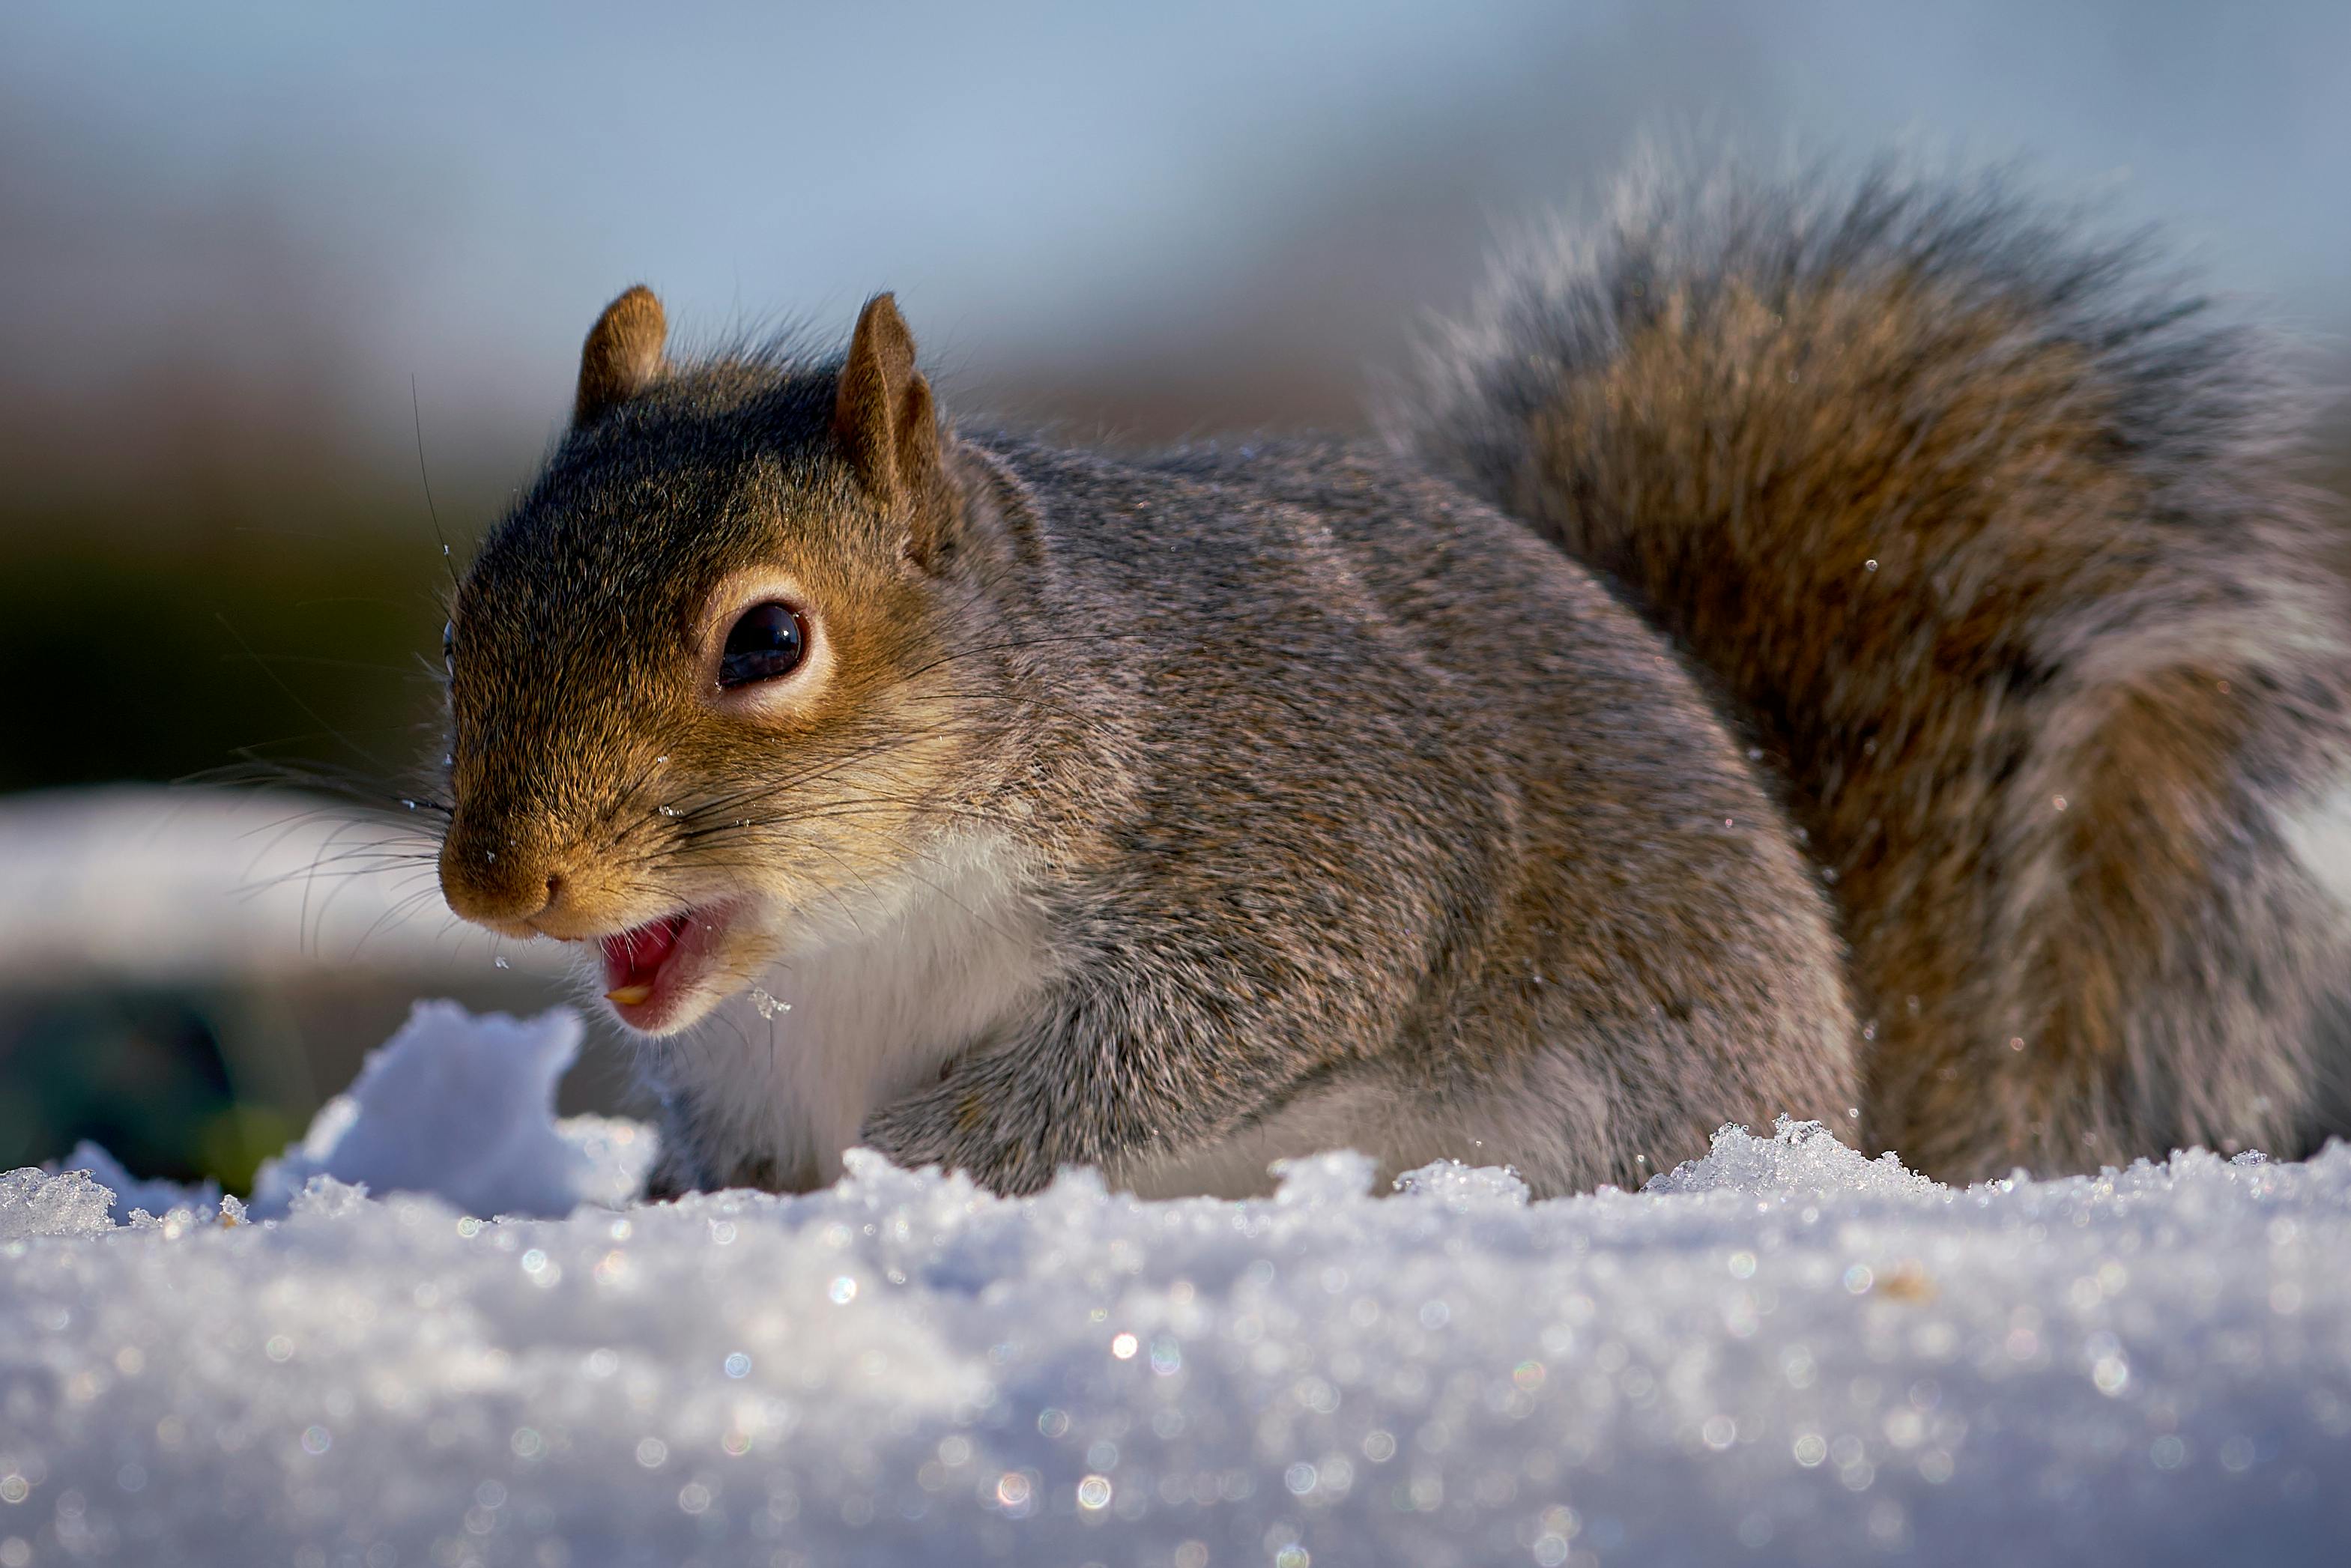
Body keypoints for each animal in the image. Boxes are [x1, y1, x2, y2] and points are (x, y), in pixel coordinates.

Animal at [428, 160, 2351, 1194]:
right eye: (467, 614)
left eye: (767, 640)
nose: (495, 885)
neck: (848, 945)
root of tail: (1857, 1117)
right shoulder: (743, 1072)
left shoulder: (1296, 844)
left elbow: (1211, 1030)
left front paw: (932, 1144)